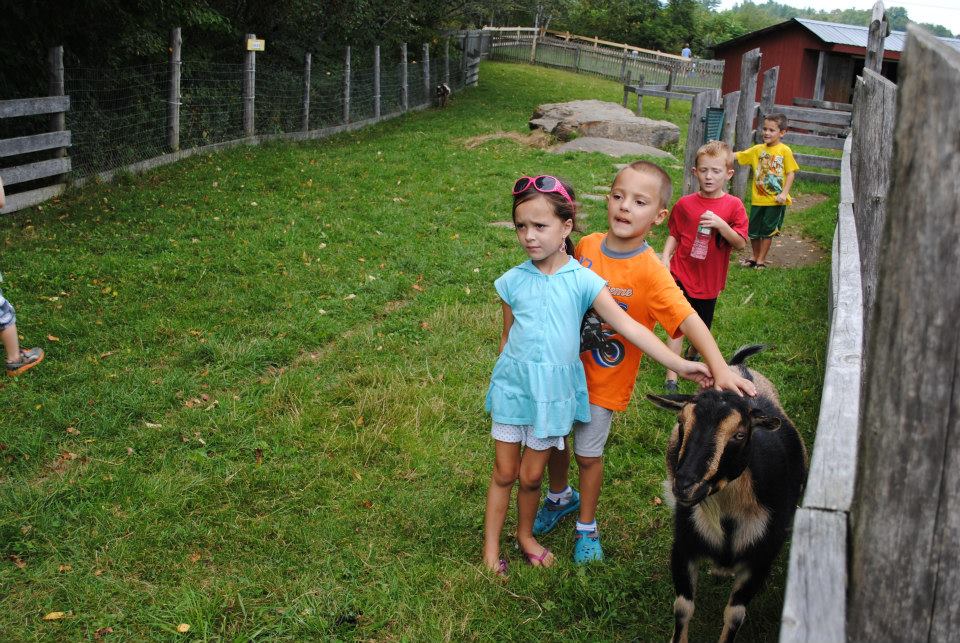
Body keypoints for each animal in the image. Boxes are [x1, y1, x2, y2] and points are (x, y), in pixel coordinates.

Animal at [647, 344, 807, 643]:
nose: (685, 485)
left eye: (740, 434)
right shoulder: (683, 545)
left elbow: (735, 615)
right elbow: (683, 607)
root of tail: (738, 366)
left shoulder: (762, 558)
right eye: (681, 422)